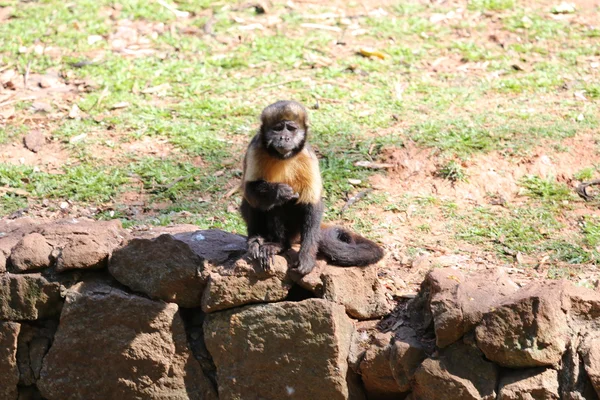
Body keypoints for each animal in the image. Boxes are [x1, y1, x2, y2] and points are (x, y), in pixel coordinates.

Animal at [240, 100, 384, 276]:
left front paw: (306, 257)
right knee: (262, 202)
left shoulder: (307, 155)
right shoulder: (255, 148)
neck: (282, 157)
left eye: (291, 129)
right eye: (278, 128)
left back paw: (280, 245)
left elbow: (312, 204)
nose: (284, 137)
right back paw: (258, 239)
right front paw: (279, 190)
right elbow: (249, 190)